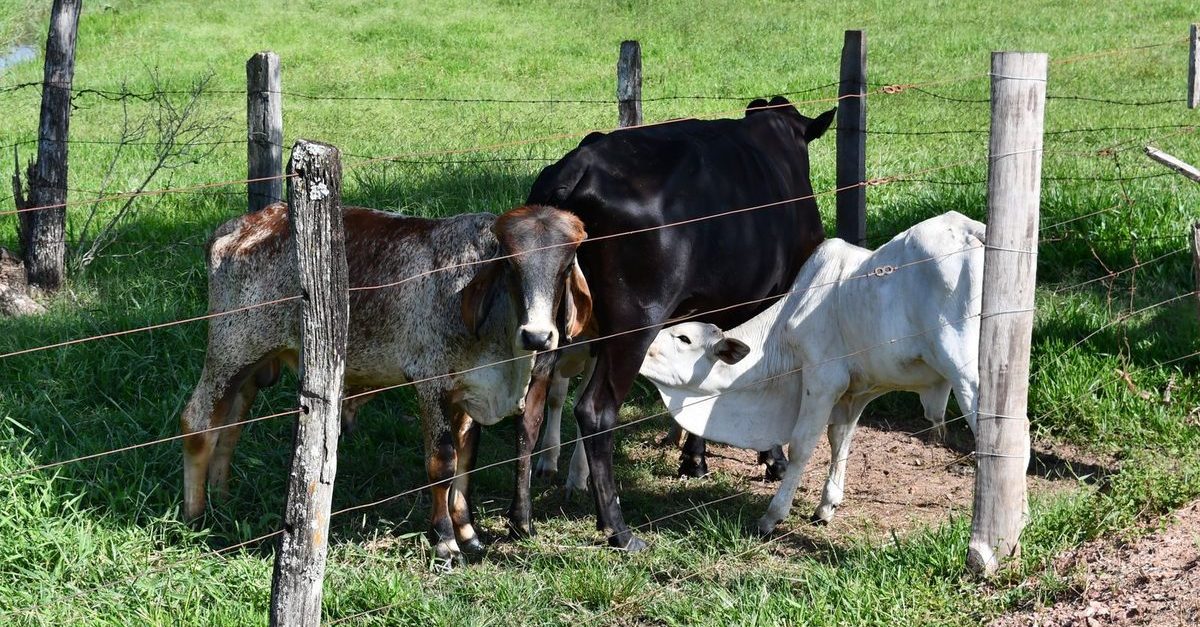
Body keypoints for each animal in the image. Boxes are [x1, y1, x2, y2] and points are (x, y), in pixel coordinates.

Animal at [180, 202, 591, 563]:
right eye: (510, 264)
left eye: (565, 264)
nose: (537, 336)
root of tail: (235, 228)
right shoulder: (431, 384)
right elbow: (442, 463)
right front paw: (445, 542)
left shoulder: (468, 393)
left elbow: (467, 460)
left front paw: (468, 533)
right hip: (230, 350)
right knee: (197, 422)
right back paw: (195, 515)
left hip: (252, 365)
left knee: (230, 425)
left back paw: (221, 496)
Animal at [500, 96, 836, 550]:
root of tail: (578, 167)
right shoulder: (770, 299)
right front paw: (771, 458)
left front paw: (694, 457)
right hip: (634, 323)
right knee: (594, 411)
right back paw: (618, 529)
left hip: (549, 326)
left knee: (531, 409)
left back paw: (522, 519)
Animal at [637, 212, 985, 534]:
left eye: (683, 338)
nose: (639, 347)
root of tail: (975, 232)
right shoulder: (856, 390)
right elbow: (840, 439)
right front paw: (826, 507)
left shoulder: (822, 380)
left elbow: (801, 446)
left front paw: (773, 516)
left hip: (968, 379)